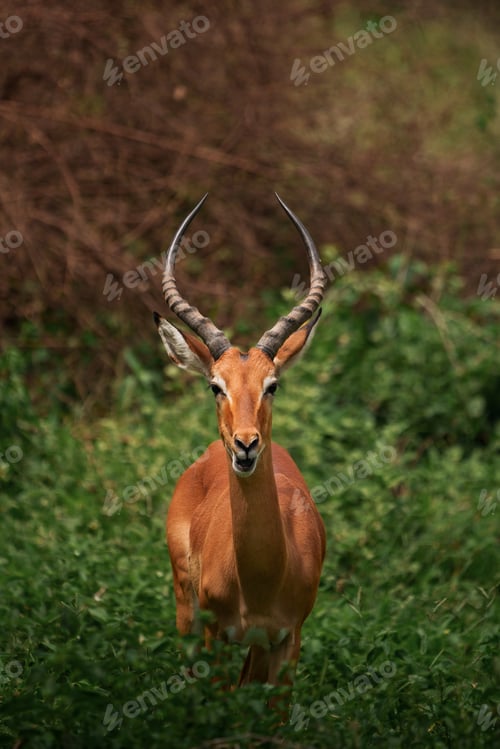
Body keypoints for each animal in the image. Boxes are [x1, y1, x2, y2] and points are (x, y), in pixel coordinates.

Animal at [154, 194, 326, 696]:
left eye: (272, 385)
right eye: (216, 386)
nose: (245, 445)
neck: (261, 582)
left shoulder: (287, 642)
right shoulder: (218, 636)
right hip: (186, 608)